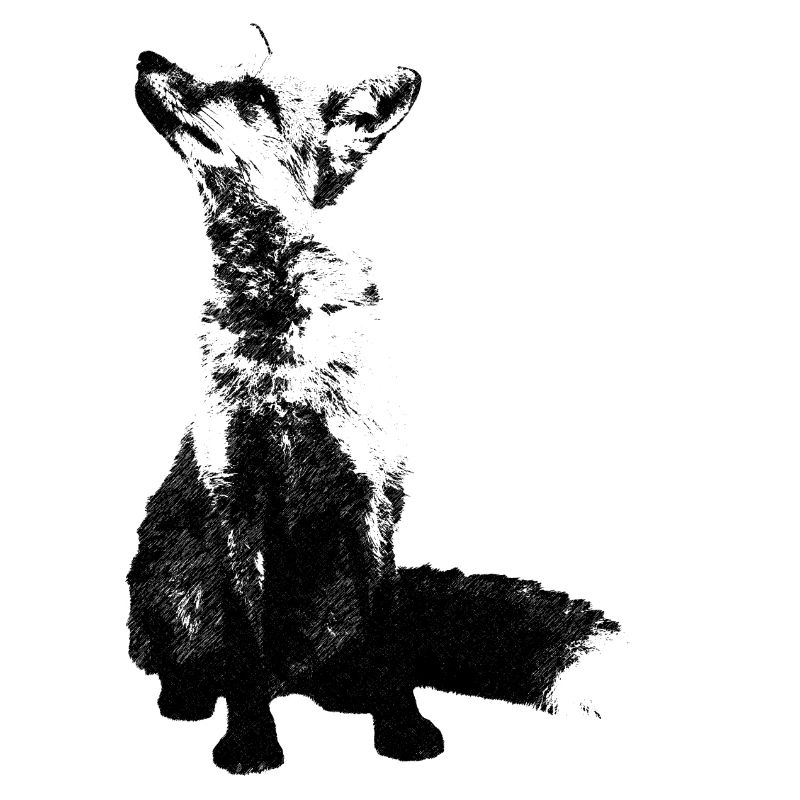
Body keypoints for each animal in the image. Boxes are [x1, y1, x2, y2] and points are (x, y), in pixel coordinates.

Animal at [128, 26, 621, 774]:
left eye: (254, 95)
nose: (146, 58)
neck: (285, 360)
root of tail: (298, 675)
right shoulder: (235, 495)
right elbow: (245, 645)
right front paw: (251, 742)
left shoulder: (370, 494)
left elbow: (389, 640)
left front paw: (402, 730)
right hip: (167, 588)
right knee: (192, 660)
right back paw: (190, 695)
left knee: (343, 659)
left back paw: (343, 693)